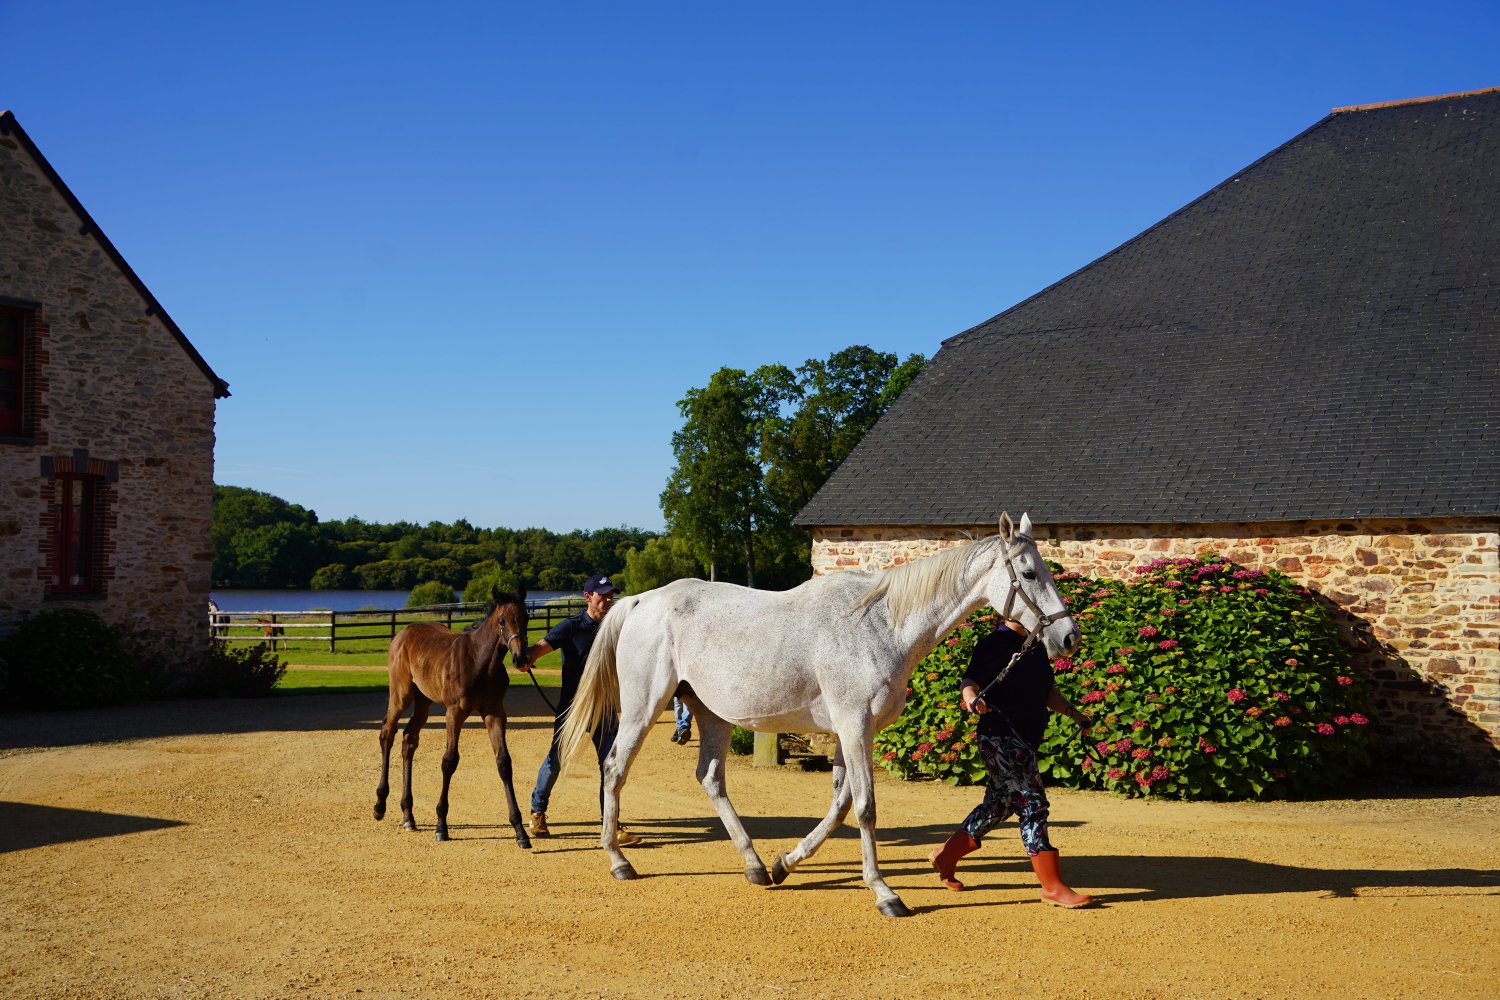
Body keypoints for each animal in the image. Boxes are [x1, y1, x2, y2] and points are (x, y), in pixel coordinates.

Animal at [373, 585, 533, 848]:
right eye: (501, 620)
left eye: (526, 617)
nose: (520, 658)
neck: (480, 662)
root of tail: (402, 633)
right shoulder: (454, 713)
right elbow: (449, 761)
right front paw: (441, 826)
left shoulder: (495, 713)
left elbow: (504, 763)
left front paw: (520, 830)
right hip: (401, 694)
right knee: (388, 733)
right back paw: (379, 805)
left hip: (424, 700)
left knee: (409, 739)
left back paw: (408, 815)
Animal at [558, 511, 1079, 917]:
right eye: (1029, 574)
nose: (1068, 636)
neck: (880, 624)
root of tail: (640, 601)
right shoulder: (853, 726)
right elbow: (865, 807)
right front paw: (885, 893)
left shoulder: (852, 733)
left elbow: (841, 806)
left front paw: (786, 863)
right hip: (643, 708)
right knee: (614, 769)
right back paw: (619, 861)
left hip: (711, 713)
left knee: (709, 778)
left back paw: (754, 865)